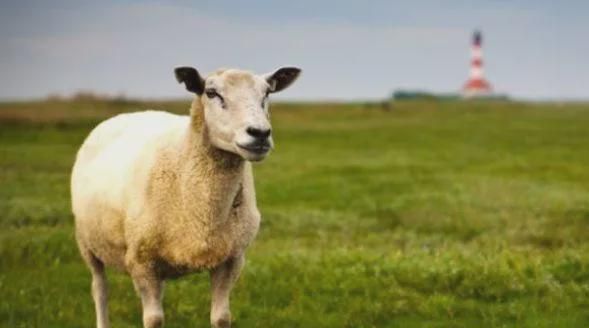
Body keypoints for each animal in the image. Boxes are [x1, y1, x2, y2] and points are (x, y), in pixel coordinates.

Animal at [71, 65, 300, 326]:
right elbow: (153, 319)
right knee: (100, 290)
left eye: (267, 93)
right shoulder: (141, 261)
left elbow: (221, 317)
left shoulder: (231, 259)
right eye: (211, 93)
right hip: (87, 243)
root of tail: (123, 115)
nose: (260, 133)